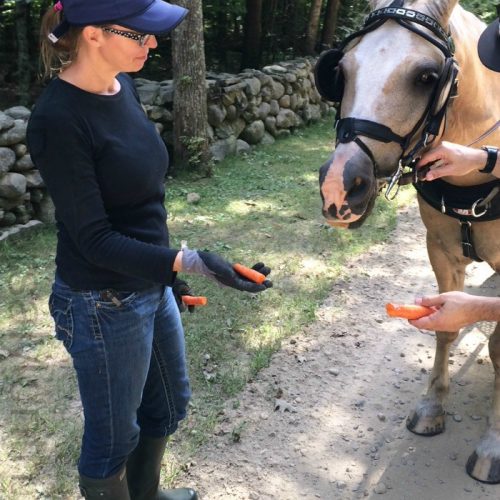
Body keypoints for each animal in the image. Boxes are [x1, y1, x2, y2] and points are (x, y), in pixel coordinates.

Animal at [316, 0, 500, 484]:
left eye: (426, 77)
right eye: (341, 69)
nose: (339, 187)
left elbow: (498, 346)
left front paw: (493, 443)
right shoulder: (440, 251)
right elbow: (446, 327)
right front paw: (433, 406)